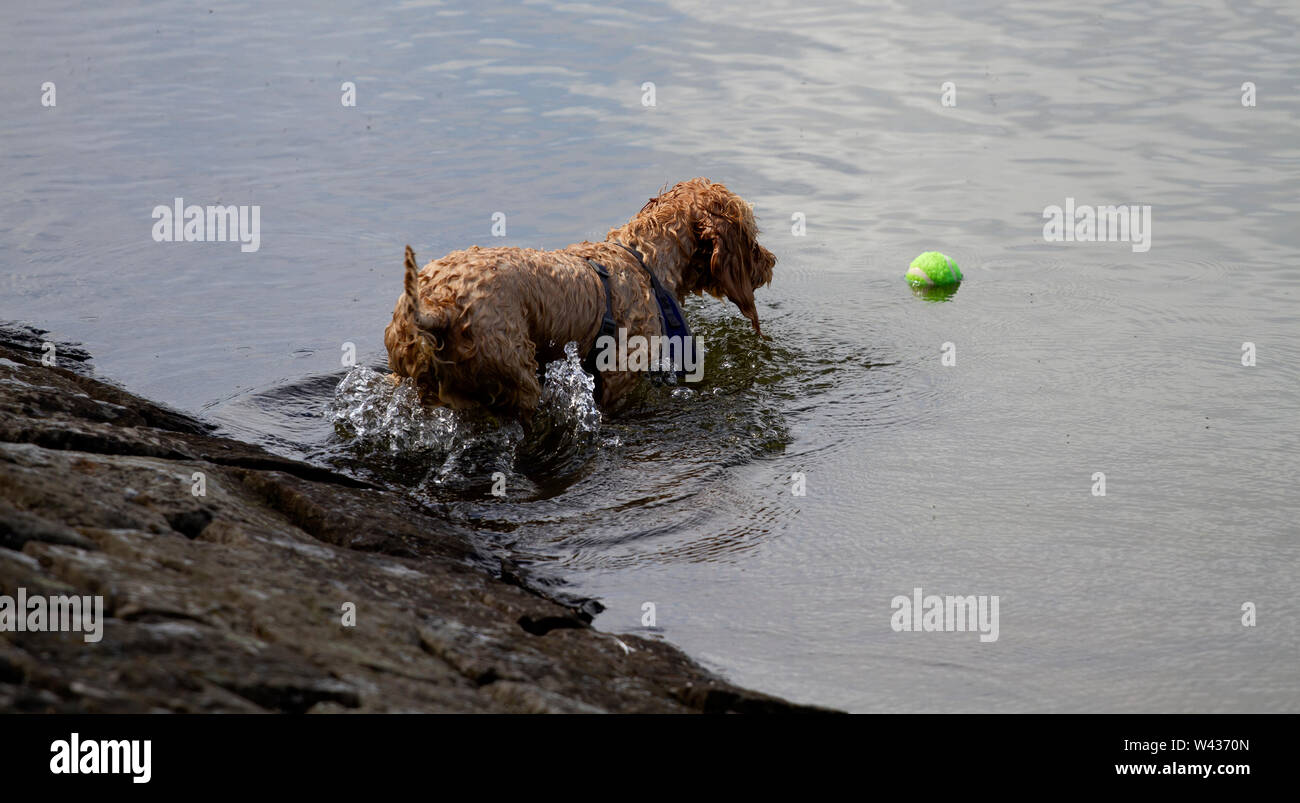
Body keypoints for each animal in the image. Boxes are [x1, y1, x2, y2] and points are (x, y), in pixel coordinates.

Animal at [382, 176, 769, 418]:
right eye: (752, 237)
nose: (770, 262)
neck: (643, 259)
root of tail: (437, 308)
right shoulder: (620, 376)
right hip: (515, 377)